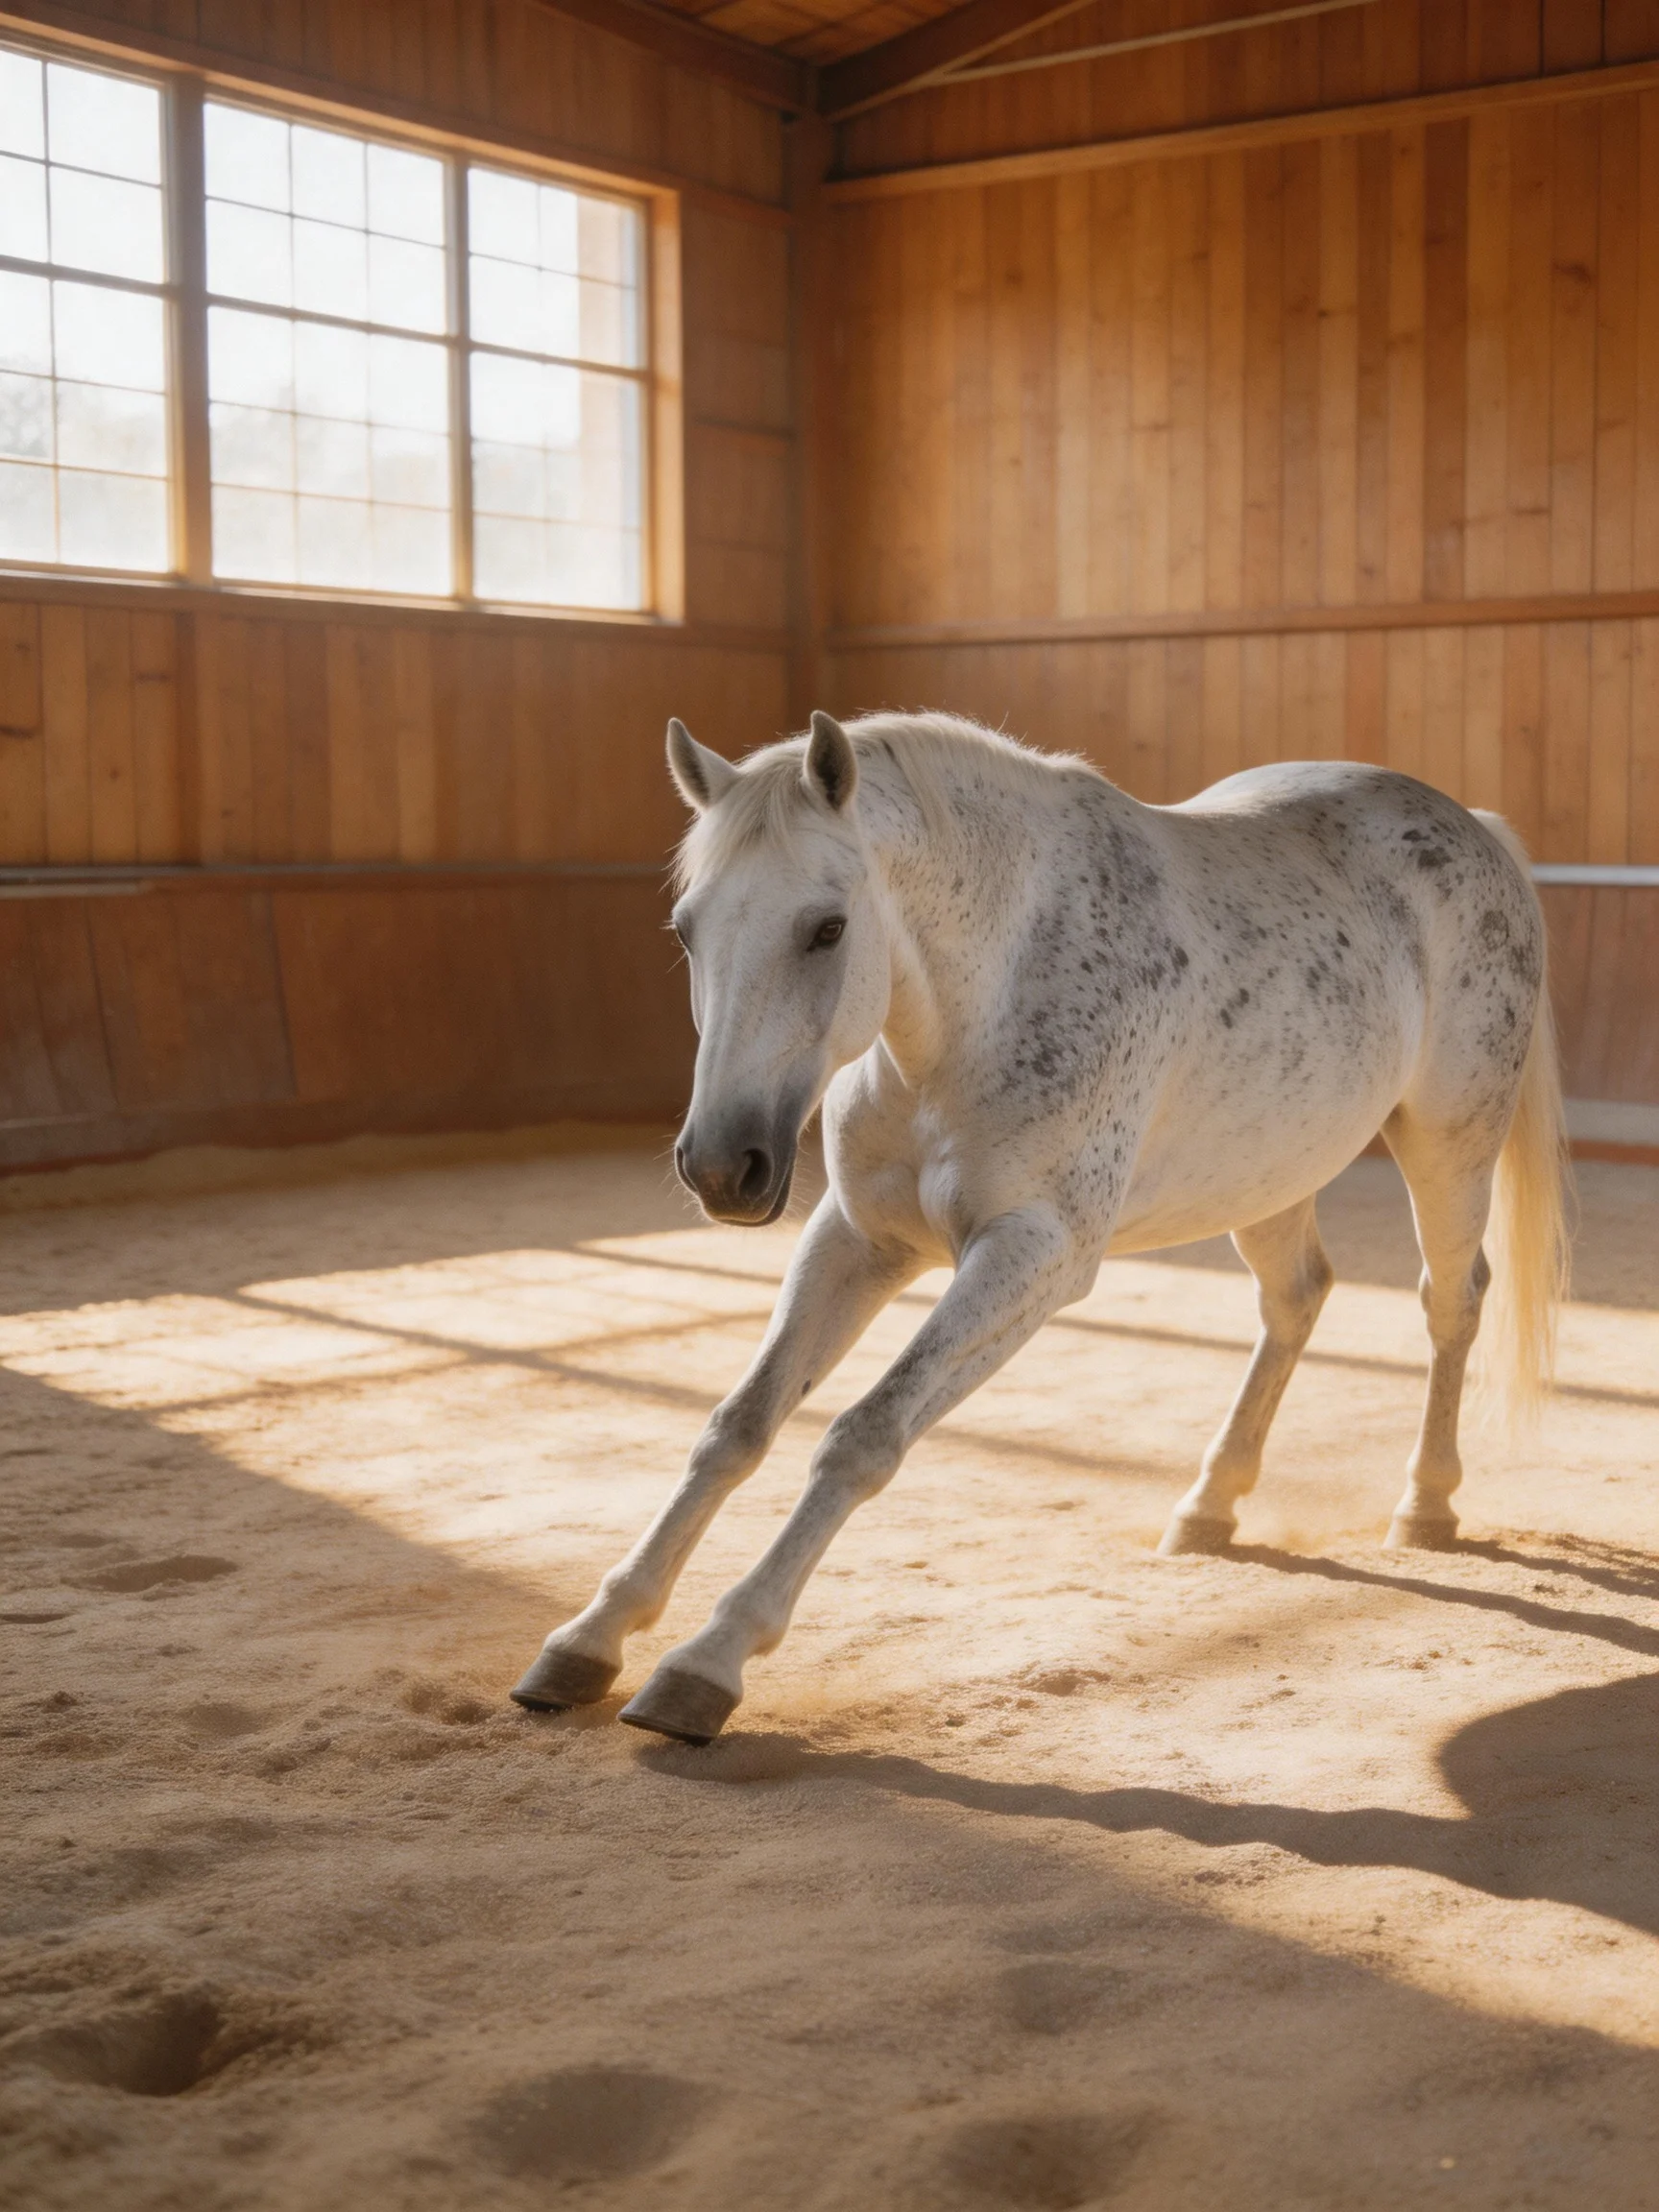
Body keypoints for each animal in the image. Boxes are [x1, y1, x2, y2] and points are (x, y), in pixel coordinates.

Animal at [511, 709, 1568, 1744]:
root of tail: (1472, 826)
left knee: (1449, 1302)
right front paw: (589, 1638)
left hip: (1446, 1147)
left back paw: (1425, 1504)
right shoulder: (857, 1241)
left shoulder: (1034, 1255)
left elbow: (862, 1435)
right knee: (1296, 1299)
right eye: (687, 929)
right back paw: (1209, 1507)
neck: (979, 1003)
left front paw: (708, 1661)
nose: (723, 1167)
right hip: (1268, 1176)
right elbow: (738, 1426)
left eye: (827, 927)